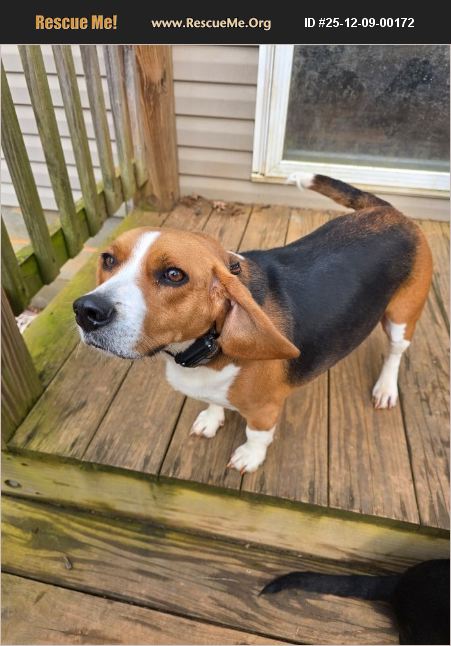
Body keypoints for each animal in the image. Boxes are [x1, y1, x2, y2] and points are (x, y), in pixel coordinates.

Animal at [73, 173, 432, 473]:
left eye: (174, 275)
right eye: (108, 259)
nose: (86, 311)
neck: (208, 344)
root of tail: (388, 212)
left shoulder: (265, 409)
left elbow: (256, 434)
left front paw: (249, 457)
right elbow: (212, 401)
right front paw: (211, 418)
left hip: (402, 317)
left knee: (396, 353)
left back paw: (385, 388)